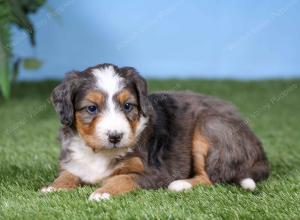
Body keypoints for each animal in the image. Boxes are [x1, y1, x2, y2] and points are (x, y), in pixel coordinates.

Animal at [40, 62, 270, 200]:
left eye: (128, 106)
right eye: (92, 108)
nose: (115, 137)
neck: (100, 152)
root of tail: (261, 152)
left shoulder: (157, 172)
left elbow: (122, 178)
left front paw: (102, 193)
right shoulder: (74, 161)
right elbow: (67, 174)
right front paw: (52, 187)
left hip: (210, 125)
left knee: (211, 177)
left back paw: (181, 185)